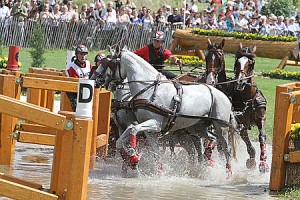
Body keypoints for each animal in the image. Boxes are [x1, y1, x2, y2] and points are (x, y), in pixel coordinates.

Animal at [99, 48, 238, 175]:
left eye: (110, 64)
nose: (100, 79)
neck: (149, 89)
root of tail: (224, 96)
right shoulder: (149, 130)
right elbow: (149, 150)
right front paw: (155, 170)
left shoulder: (155, 124)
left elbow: (132, 130)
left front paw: (133, 156)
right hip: (196, 127)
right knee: (210, 139)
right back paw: (205, 159)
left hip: (221, 127)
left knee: (226, 149)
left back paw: (228, 172)